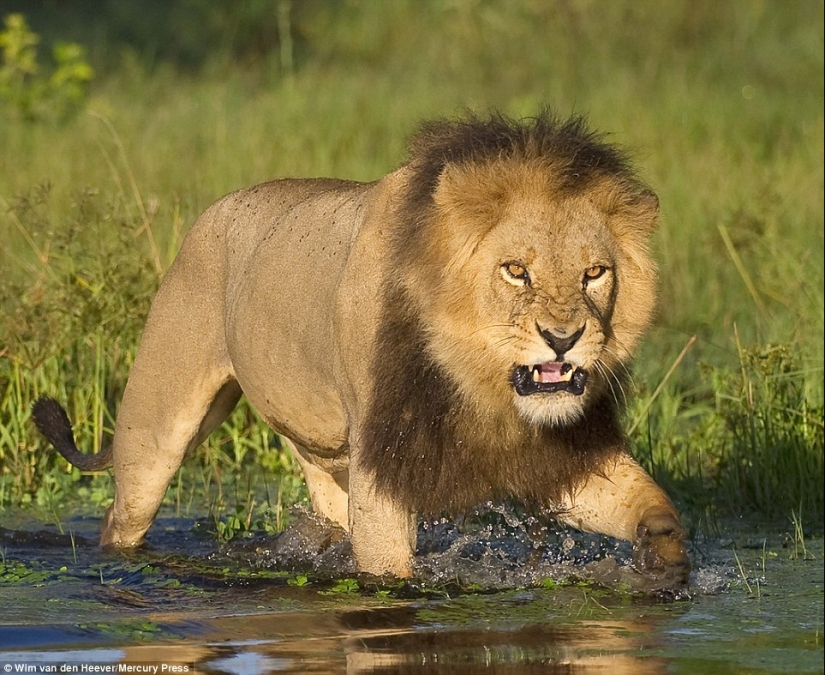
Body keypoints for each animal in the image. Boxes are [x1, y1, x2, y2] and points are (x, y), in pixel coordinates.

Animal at [30, 109, 688, 592]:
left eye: (595, 273)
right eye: (515, 271)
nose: (563, 338)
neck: (480, 384)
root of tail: (212, 212)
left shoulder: (560, 456)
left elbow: (648, 501)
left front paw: (666, 559)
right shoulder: (383, 463)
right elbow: (388, 572)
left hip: (322, 453)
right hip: (156, 431)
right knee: (123, 515)